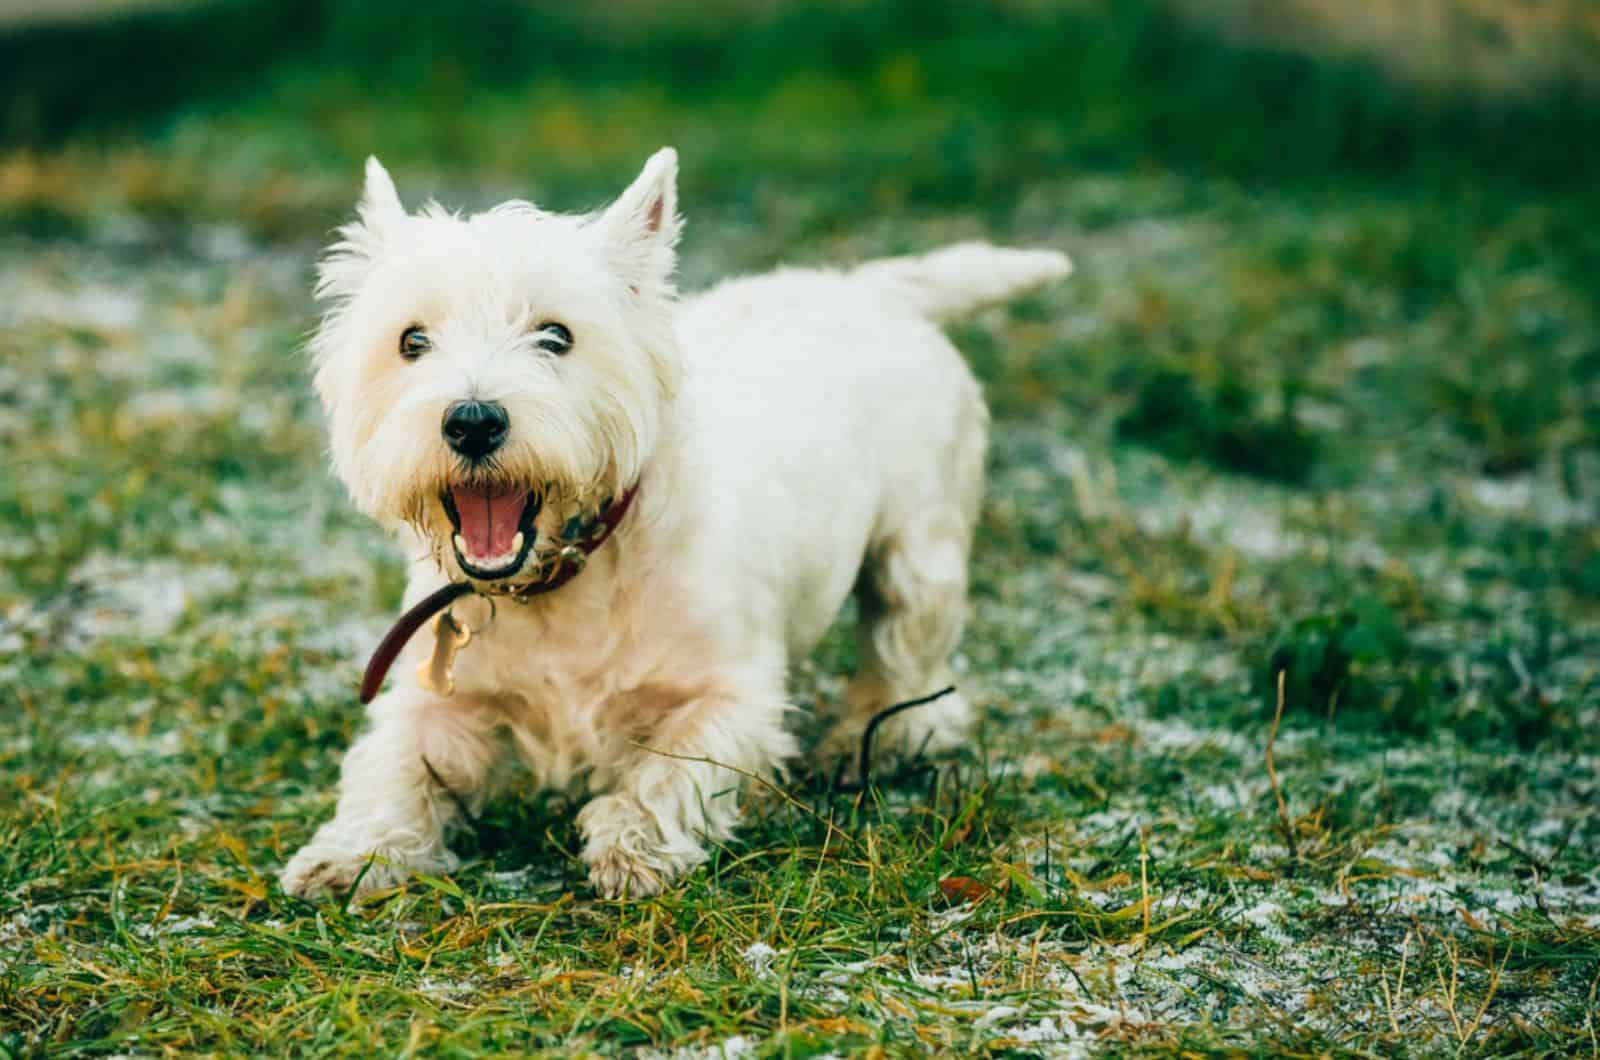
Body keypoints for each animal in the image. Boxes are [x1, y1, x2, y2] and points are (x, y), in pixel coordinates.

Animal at [281, 145, 1068, 903]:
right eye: (412, 342)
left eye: (556, 336)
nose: (473, 421)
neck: (564, 579)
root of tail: (866, 288)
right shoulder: (434, 698)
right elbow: (391, 769)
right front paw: (349, 854)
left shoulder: (731, 693)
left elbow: (673, 766)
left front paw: (632, 846)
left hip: (919, 550)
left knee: (909, 654)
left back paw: (873, 738)